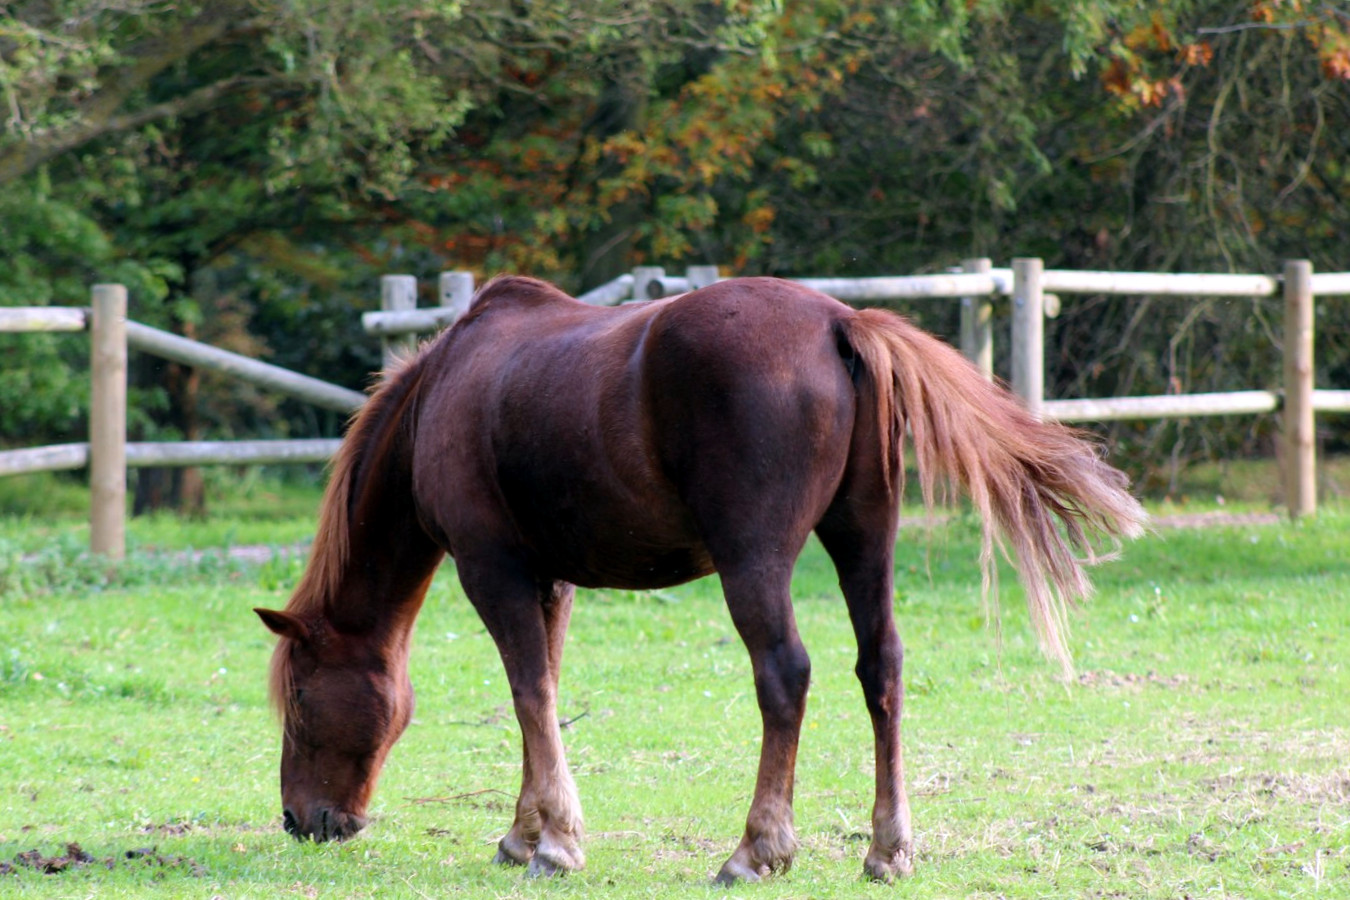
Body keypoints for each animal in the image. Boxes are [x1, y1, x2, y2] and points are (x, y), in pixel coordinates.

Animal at [251, 275, 1139, 879]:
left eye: (300, 699)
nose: (302, 819)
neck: (447, 388)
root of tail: (839, 323)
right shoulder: (550, 581)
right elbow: (544, 692)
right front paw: (526, 831)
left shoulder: (492, 569)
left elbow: (529, 692)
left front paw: (556, 843)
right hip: (863, 541)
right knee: (880, 667)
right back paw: (888, 849)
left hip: (754, 561)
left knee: (785, 674)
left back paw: (757, 848)